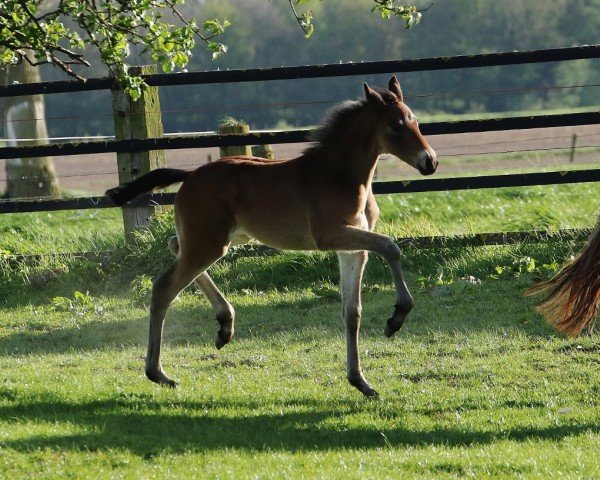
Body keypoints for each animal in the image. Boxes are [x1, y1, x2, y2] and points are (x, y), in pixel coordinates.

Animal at [106, 76, 436, 398]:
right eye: (396, 125)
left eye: (416, 121)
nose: (430, 162)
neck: (340, 175)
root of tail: (190, 175)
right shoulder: (331, 235)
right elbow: (390, 247)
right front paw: (396, 318)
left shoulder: (352, 248)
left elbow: (351, 311)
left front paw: (361, 381)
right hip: (208, 243)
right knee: (164, 286)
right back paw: (158, 373)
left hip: (220, 239)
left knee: (174, 246)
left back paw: (225, 325)